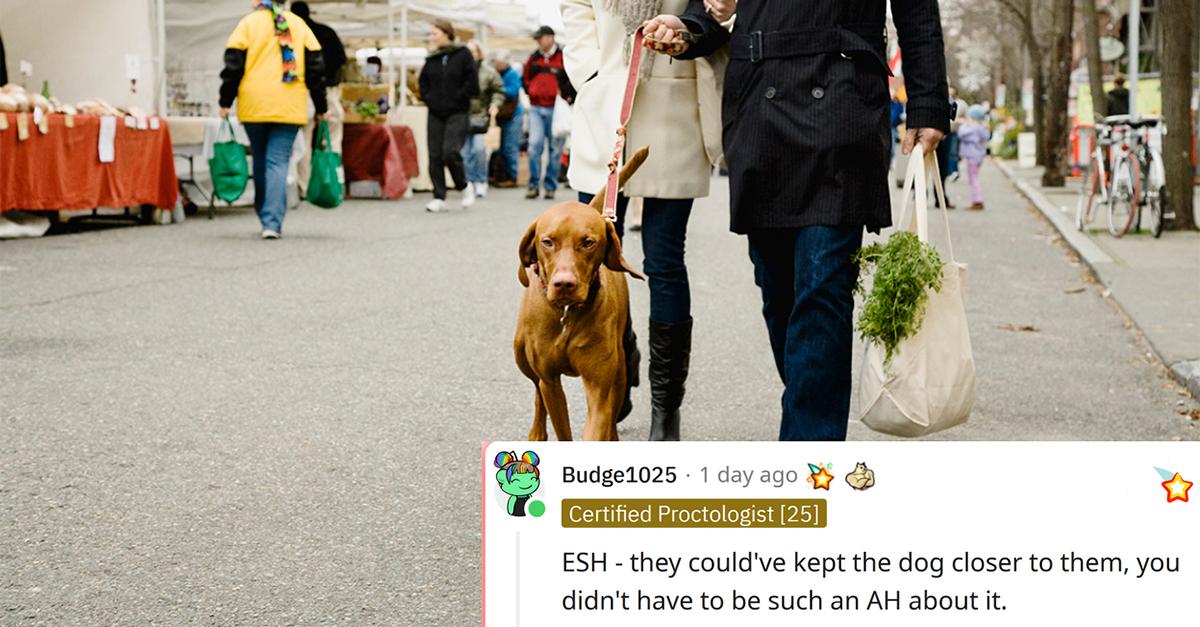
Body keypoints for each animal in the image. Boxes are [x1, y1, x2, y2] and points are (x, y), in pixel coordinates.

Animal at [513, 147, 652, 439]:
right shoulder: (550, 381)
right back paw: (537, 433)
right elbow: (556, 418)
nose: (564, 284)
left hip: (619, 369)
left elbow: (598, 426)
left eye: (588, 243)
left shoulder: (600, 386)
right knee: (536, 390)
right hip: (521, 354)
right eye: (547, 241)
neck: (566, 315)